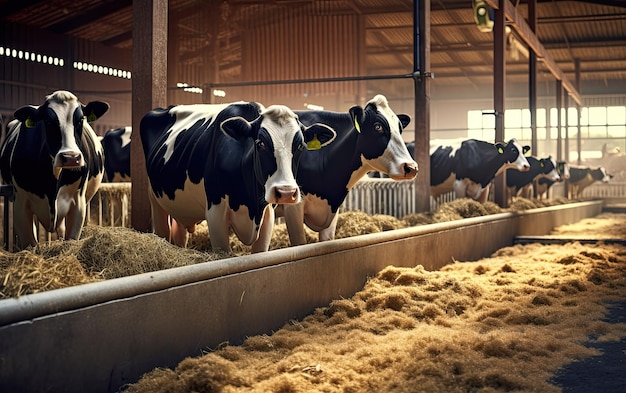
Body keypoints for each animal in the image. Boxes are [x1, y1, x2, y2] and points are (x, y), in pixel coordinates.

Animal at [0, 89, 108, 248]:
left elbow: (71, 238)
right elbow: (30, 244)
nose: (71, 157)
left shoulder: (78, 201)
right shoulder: (20, 202)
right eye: (48, 121)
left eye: (80, 120)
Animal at [140, 102, 336, 253]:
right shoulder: (215, 213)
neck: (250, 204)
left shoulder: (267, 214)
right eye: (260, 143)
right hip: (154, 200)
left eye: (301, 146)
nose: (286, 192)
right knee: (162, 229)